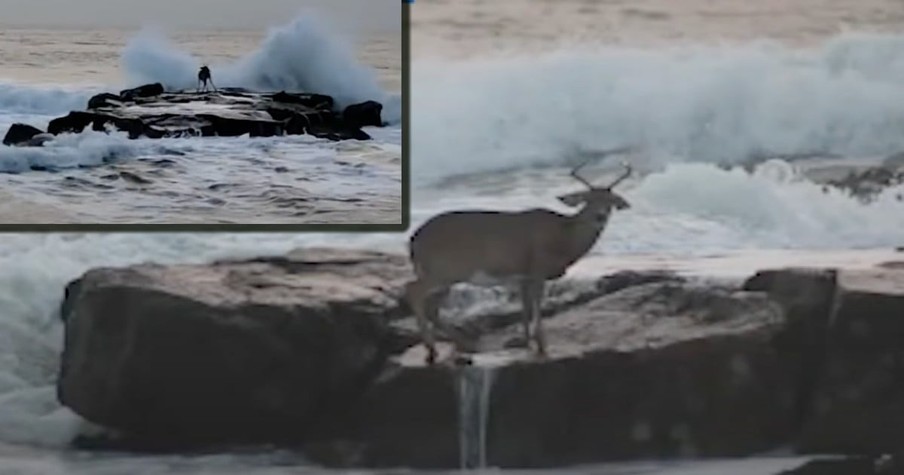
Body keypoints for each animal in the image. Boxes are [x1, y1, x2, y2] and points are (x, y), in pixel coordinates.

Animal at [406, 160, 632, 364]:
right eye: (588, 199)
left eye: (611, 201)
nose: (599, 216)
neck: (564, 237)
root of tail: (414, 240)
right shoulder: (538, 268)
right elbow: (537, 304)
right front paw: (542, 344)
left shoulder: (523, 276)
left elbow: (525, 308)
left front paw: (525, 341)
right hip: (445, 270)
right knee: (414, 290)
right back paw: (433, 350)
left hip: (442, 275)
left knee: (431, 307)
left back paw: (459, 344)